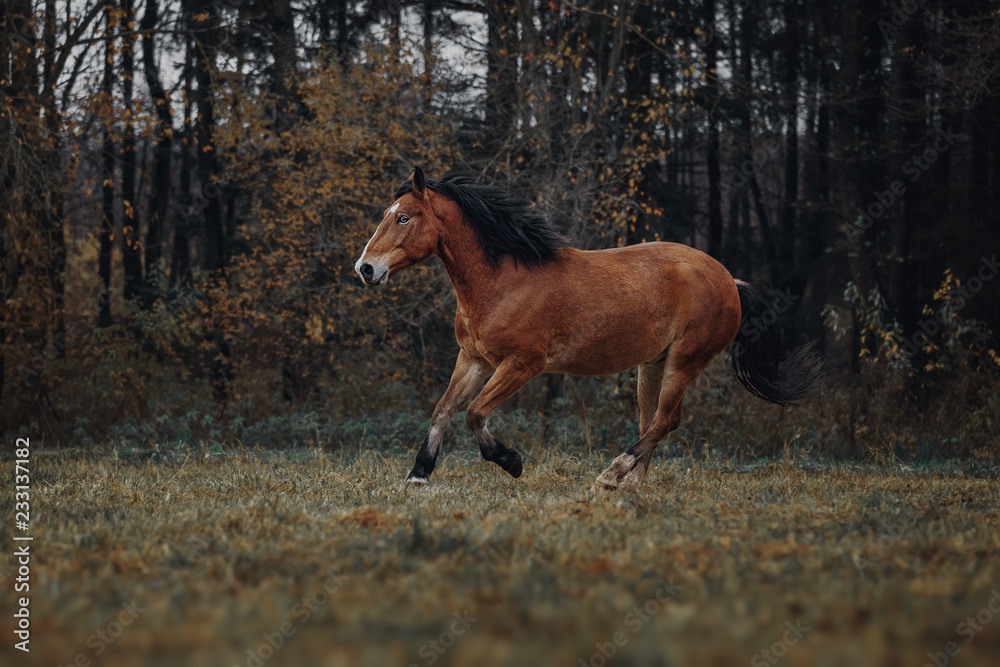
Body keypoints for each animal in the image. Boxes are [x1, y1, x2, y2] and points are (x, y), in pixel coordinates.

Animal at [354, 168, 823, 492]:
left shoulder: (522, 364)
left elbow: (475, 413)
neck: (503, 280)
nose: (365, 268)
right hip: (652, 365)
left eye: (404, 218)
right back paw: (629, 486)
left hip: (685, 361)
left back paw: (609, 476)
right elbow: (443, 410)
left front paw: (511, 461)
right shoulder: (473, 358)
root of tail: (730, 280)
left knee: (664, 420)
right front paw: (418, 475)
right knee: (654, 421)